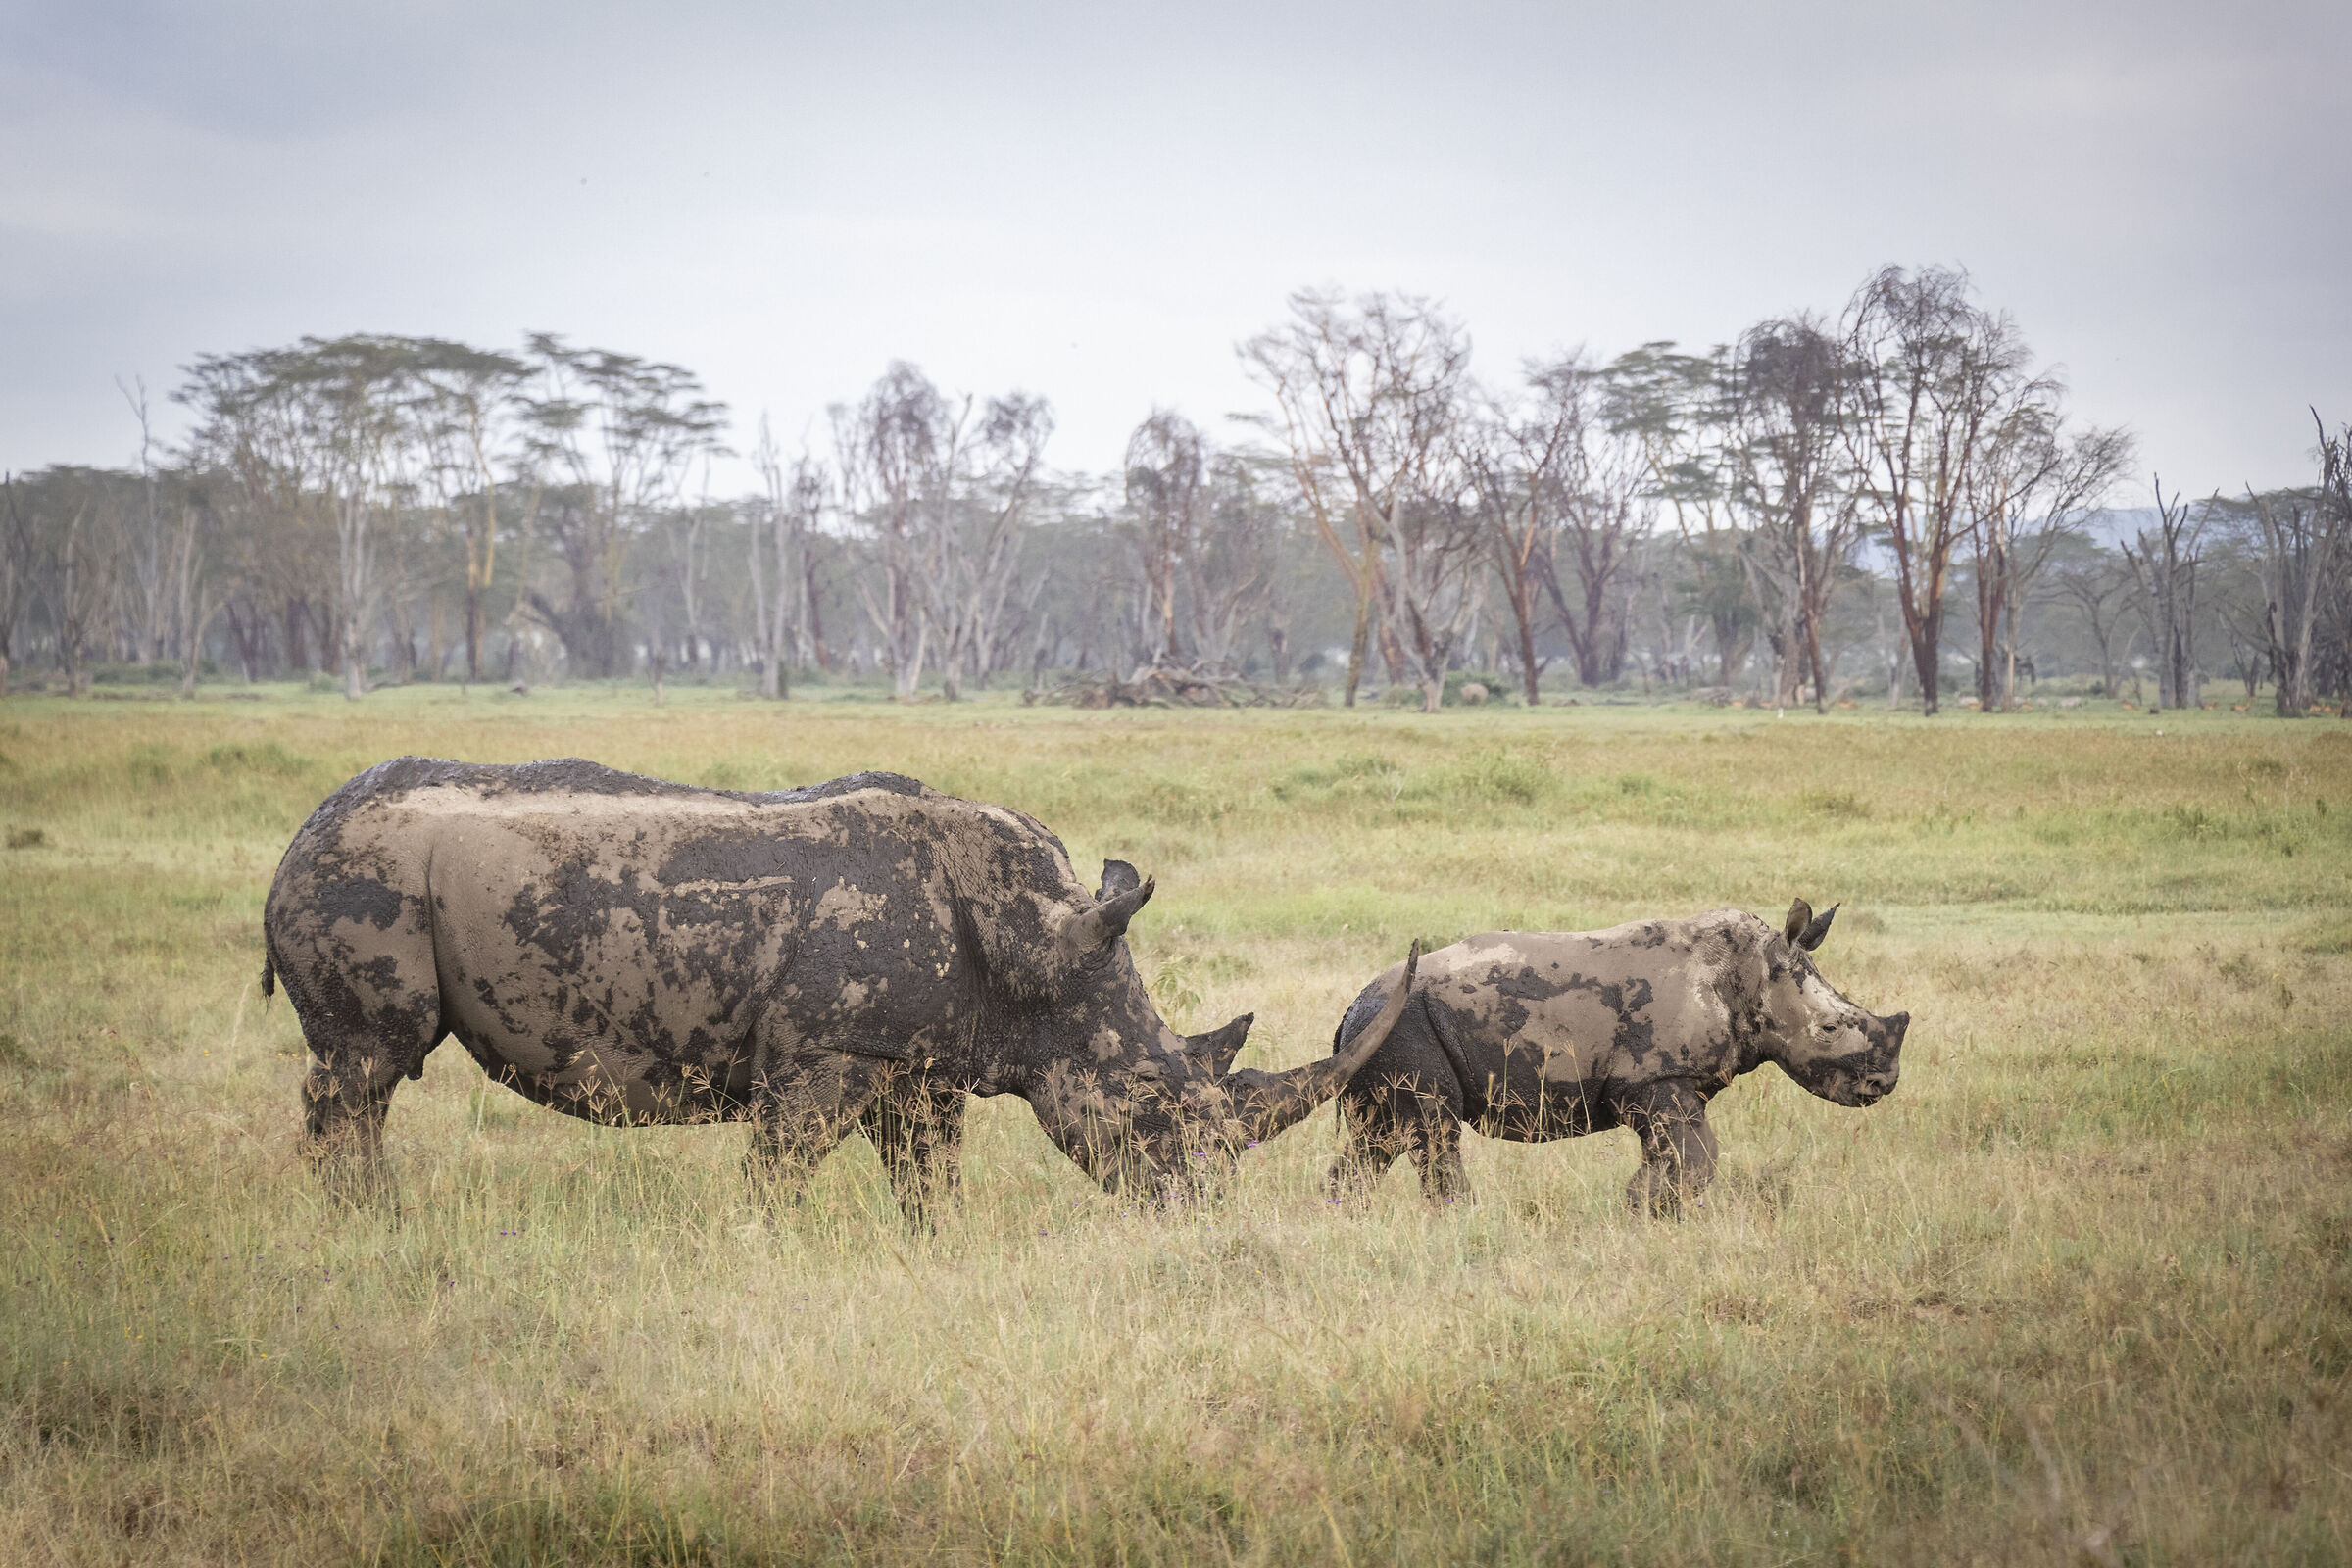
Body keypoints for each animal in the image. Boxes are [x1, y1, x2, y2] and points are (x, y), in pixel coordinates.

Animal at [262, 758, 1417, 1219]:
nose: (1200, 1205)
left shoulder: (920, 1060)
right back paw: (362, 1221)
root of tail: (299, 835)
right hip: (363, 878)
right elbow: (779, 1172)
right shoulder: (832, 1052)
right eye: (1145, 1102)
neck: (1035, 949)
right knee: (366, 1065)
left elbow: (929, 1179)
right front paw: (760, 1250)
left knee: (363, 1077)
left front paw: (934, 1256)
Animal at [1326, 900, 1908, 1214]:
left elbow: (1676, 1157)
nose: (1883, 1085)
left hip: (1383, 1033)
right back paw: (1464, 1220)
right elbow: (1697, 1159)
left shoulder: (1667, 1085)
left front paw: (1643, 1209)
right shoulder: (1656, 1077)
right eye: (1829, 1030)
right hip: (1407, 1027)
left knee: (1378, 1141)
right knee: (1433, 1134)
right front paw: (1640, 1212)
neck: (1750, 973)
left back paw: (1345, 1219)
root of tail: (1353, 1007)